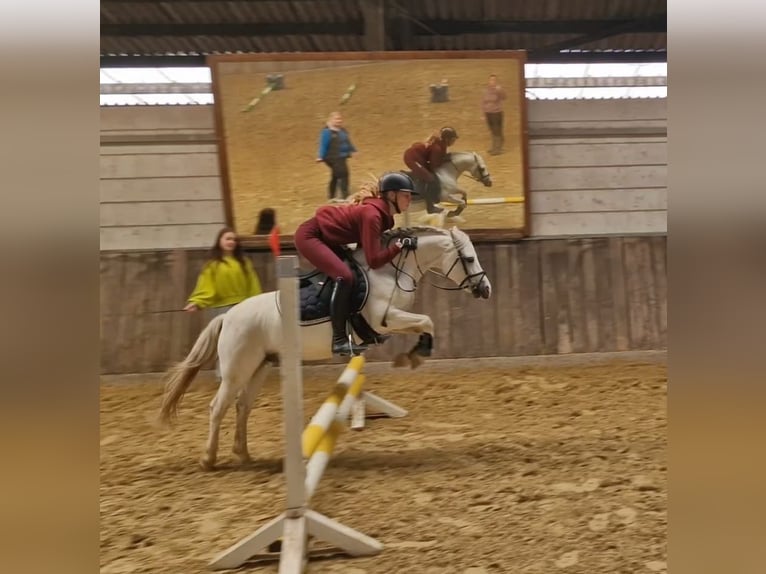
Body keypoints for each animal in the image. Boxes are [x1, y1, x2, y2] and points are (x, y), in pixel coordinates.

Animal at [160, 224, 496, 468]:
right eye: (468, 259)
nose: (485, 289)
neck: (390, 271)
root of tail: (228, 315)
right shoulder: (385, 319)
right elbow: (427, 320)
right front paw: (415, 355)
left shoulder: (394, 321)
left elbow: (426, 323)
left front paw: (413, 354)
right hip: (236, 370)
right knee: (218, 407)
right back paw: (209, 459)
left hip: (259, 366)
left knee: (242, 406)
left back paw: (243, 454)